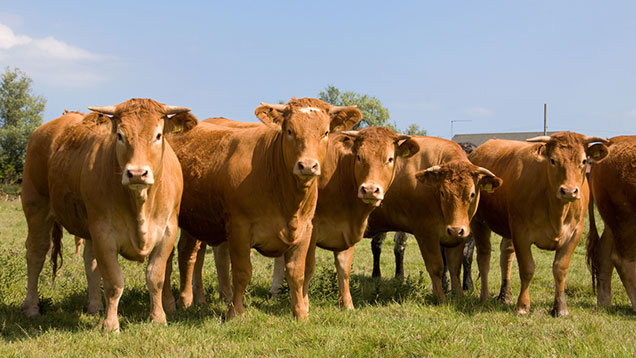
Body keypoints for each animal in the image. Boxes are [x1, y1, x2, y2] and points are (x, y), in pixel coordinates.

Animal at [20, 98, 189, 332]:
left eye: (158, 135)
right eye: (120, 135)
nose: (137, 173)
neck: (140, 203)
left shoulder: (168, 232)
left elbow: (155, 277)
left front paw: (158, 318)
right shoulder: (104, 234)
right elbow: (113, 282)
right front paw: (110, 325)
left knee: (90, 263)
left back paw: (95, 307)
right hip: (36, 207)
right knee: (36, 254)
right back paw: (31, 308)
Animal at [165, 98, 362, 318]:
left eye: (325, 132)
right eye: (290, 130)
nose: (307, 165)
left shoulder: (305, 229)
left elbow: (297, 273)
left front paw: (300, 314)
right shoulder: (239, 228)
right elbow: (242, 272)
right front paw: (235, 313)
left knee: (188, 253)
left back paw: (193, 300)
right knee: (184, 255)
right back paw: (182, 301)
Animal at [362, 136, 502, 300]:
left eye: (472, 194)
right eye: (443, 192)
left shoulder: (467, 232)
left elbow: (465, 259)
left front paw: (467, 285)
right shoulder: (430, 231)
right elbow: (442, 263)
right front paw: (444, 287)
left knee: (399, 247)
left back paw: (399, 276)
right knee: (378, 245)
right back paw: (377, 274)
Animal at [470, 132, 608, 316]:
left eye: (584, 161)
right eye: (553, 160)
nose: (569, 191)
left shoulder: (575, 234)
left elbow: (560, 269)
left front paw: (560, 308)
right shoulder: (521, 233)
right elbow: (527, 269)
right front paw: (523, 306)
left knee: (506, 255)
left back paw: (505, 296)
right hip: (479, 221)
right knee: (484, 256)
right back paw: (484, 297)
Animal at [588, 136, 636, 312]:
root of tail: (612, 141)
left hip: (612, 222)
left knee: (604, 254)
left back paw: (604, 302)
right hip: (626, 221)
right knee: (623, 260)